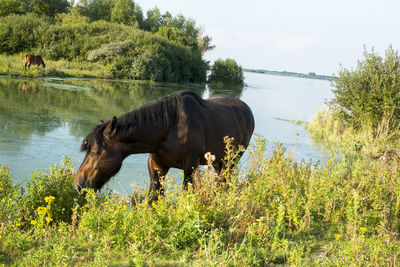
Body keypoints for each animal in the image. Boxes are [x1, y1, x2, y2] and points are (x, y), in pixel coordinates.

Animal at [74, 91, 255, 200]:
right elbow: (154, 197)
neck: (170, 128)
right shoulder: (157, 166)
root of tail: (246, 109)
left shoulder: (190, 167)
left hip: (231, 161)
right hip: (219, 162)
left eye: (95, 151)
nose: (78, 184)